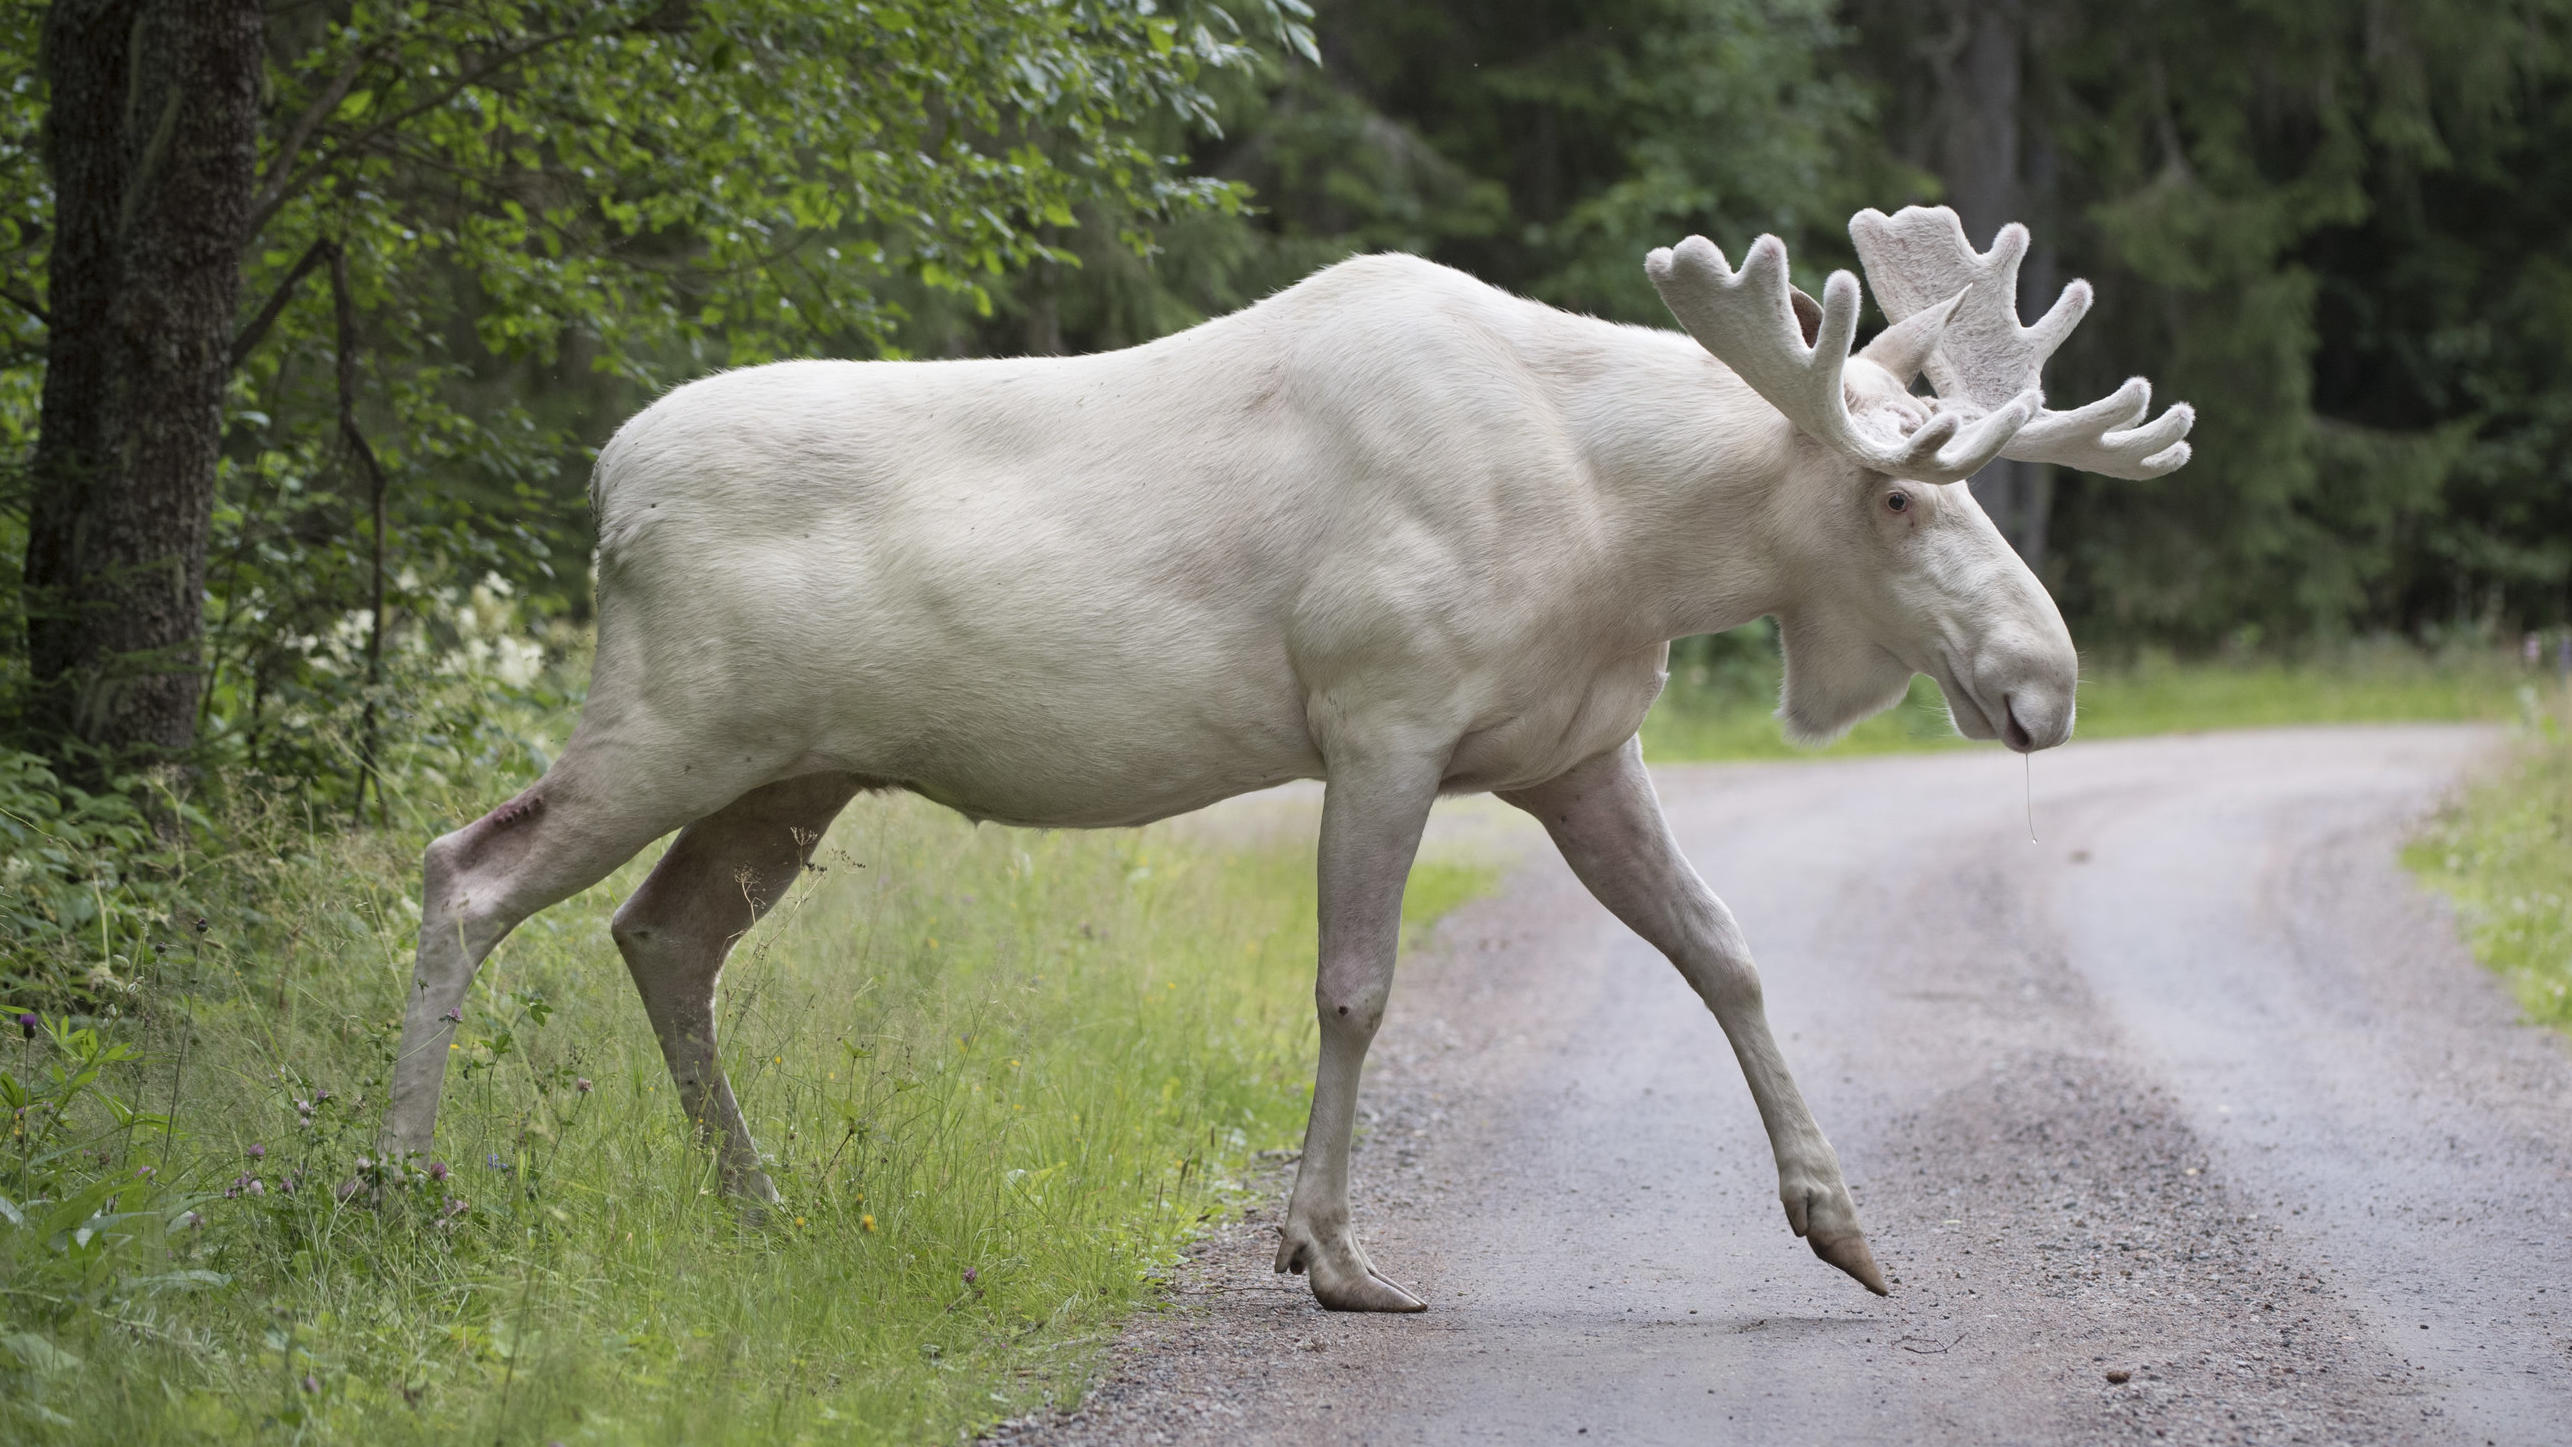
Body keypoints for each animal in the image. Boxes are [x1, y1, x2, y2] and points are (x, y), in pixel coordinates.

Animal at [380, 206, 2191, 1315]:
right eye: (1894, 494)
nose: (2044, 684)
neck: (1626, 537)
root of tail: (605, 484)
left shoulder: (1575, 749)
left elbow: (1727, 953)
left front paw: (1842, 1221)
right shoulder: (1382, 714)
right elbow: (1354, 984)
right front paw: (1327, 1250)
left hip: (790, 771)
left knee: (661, 932)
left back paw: (754, 1203)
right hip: (673, 719)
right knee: (466, 869)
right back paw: (401, 1182)